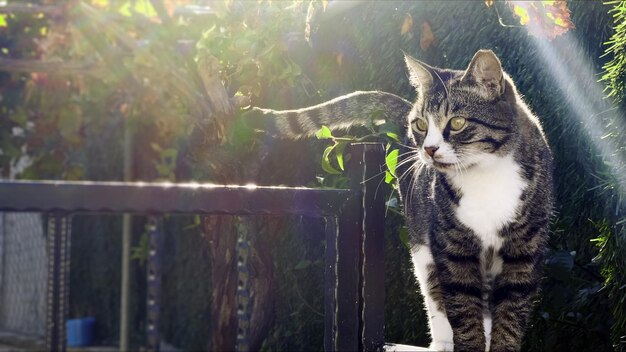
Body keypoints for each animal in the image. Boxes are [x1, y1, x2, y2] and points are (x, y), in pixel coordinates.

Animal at [241, 50, 552, 352]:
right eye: (421, 124)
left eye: (457, 122)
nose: (428, 149)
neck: (485, 176)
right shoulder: (451, 245)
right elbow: (462, 307)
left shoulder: (524, 249)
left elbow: (511, 312)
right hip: (422, 243)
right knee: (435, 294)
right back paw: (443, 343)